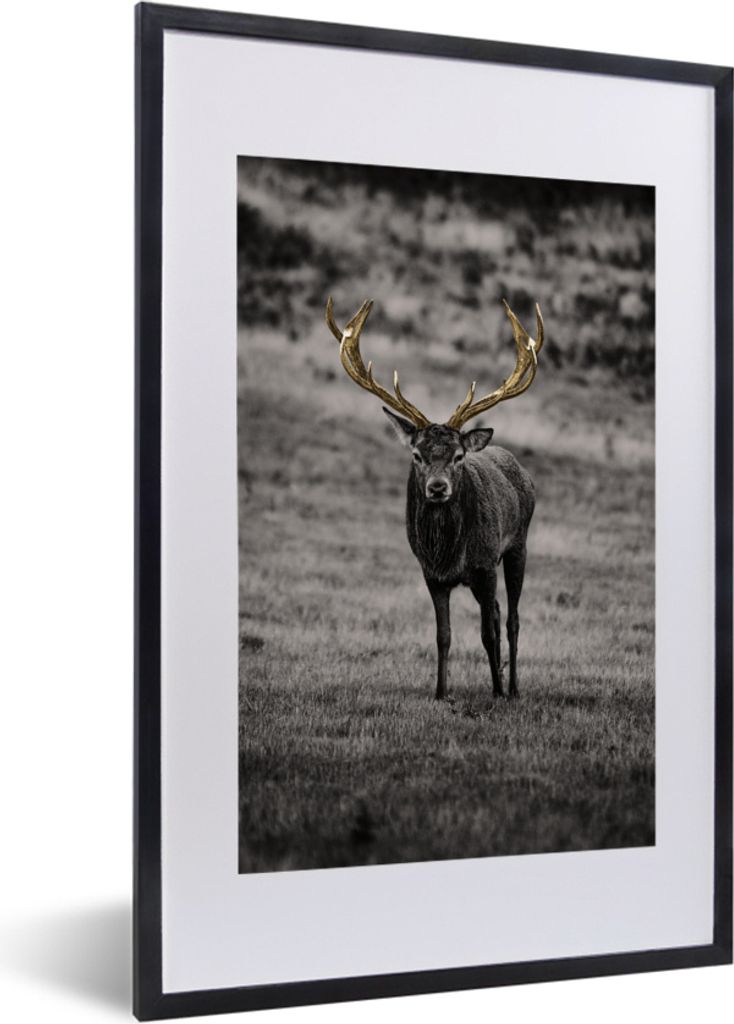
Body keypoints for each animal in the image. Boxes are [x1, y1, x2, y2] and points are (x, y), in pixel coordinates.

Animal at [325, 296, 544, 702]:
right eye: (417, 455)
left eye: (458, 456)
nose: (438, 487)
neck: (449, 552)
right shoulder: (431, 574)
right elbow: (443, 635)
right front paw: (441, 692)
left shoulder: (485, 564)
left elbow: (488, 631)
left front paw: (496, 692)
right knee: (495, 612)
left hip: (518, 545)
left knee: (510, 619)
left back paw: (512, 688)